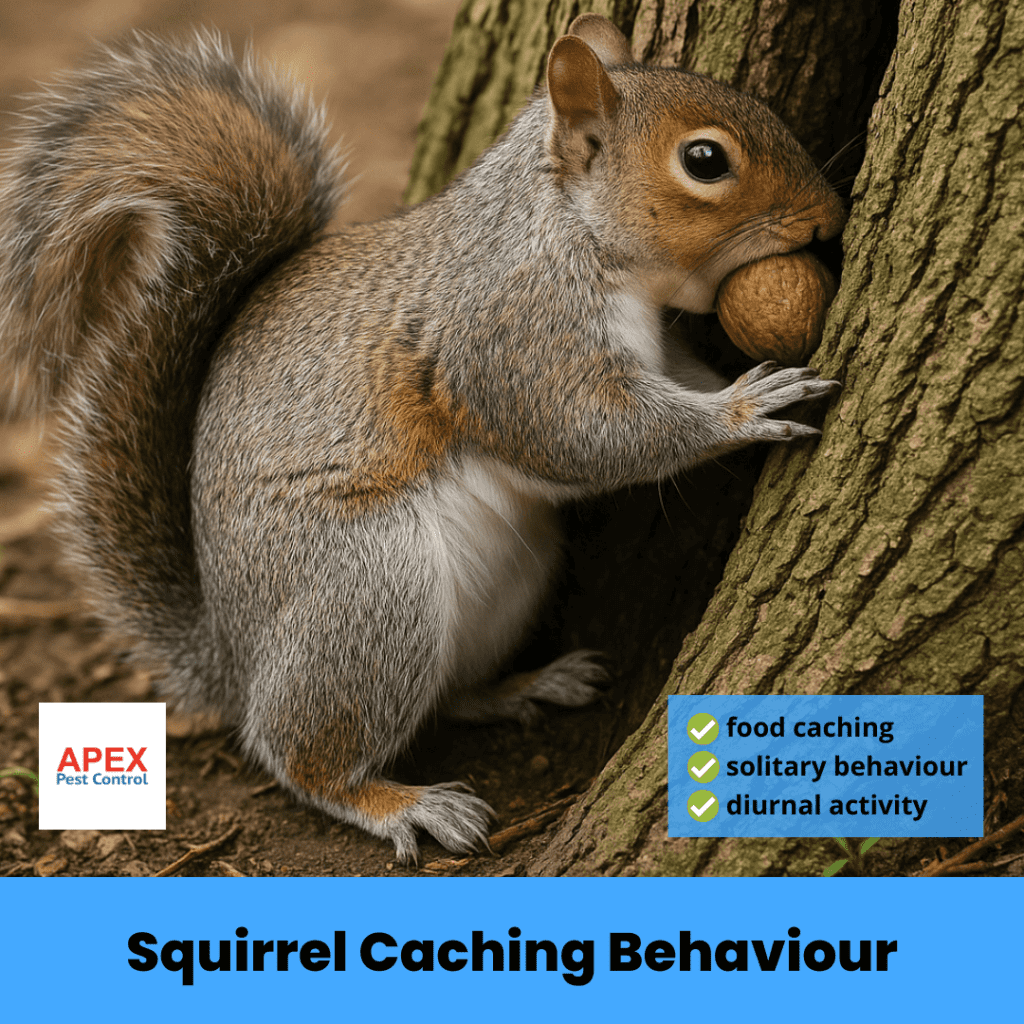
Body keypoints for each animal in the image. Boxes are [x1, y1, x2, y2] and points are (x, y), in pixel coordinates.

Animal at [0, 14, 846, 862]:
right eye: (705, 160)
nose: (829, 218)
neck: (564, 228)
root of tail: (232, 658)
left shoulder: (645, 349)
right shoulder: (511, 335)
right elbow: (588, 434)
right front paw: (744, 410)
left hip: (511, 578)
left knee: (446, 695)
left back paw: (521, 686)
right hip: (370, 586)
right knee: (295, 754)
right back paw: (398, 802)